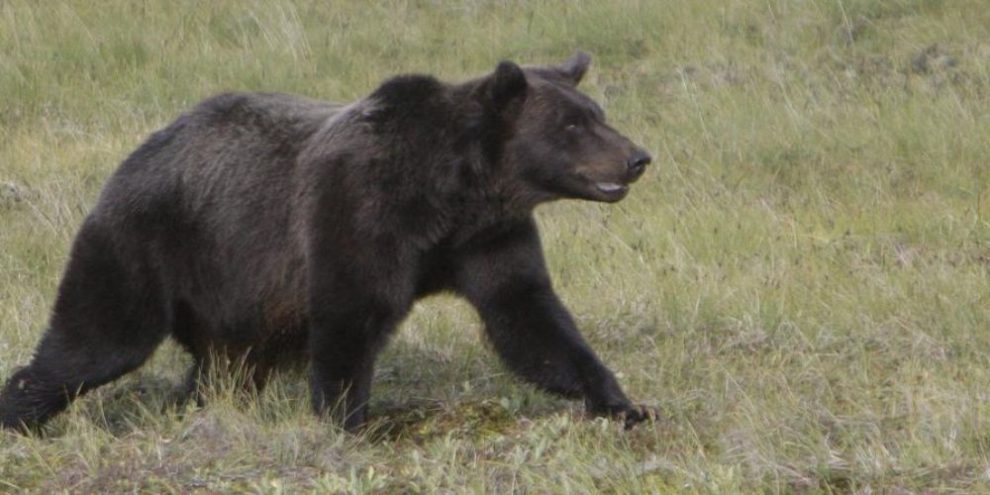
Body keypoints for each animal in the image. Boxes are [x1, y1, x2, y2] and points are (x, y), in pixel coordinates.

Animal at [0, 52, 655, 432]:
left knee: (224, 366)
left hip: (237, 296)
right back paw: (22, 412)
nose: (638, 157)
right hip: (149, 241)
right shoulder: (360, 211)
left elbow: (529, 318)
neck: (453, 193)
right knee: (97, 337)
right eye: (573, 124)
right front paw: (350, 423)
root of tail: (139, 150)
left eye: (596, 112)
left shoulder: (488, 238)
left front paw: (623, 403)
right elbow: (351, 315)